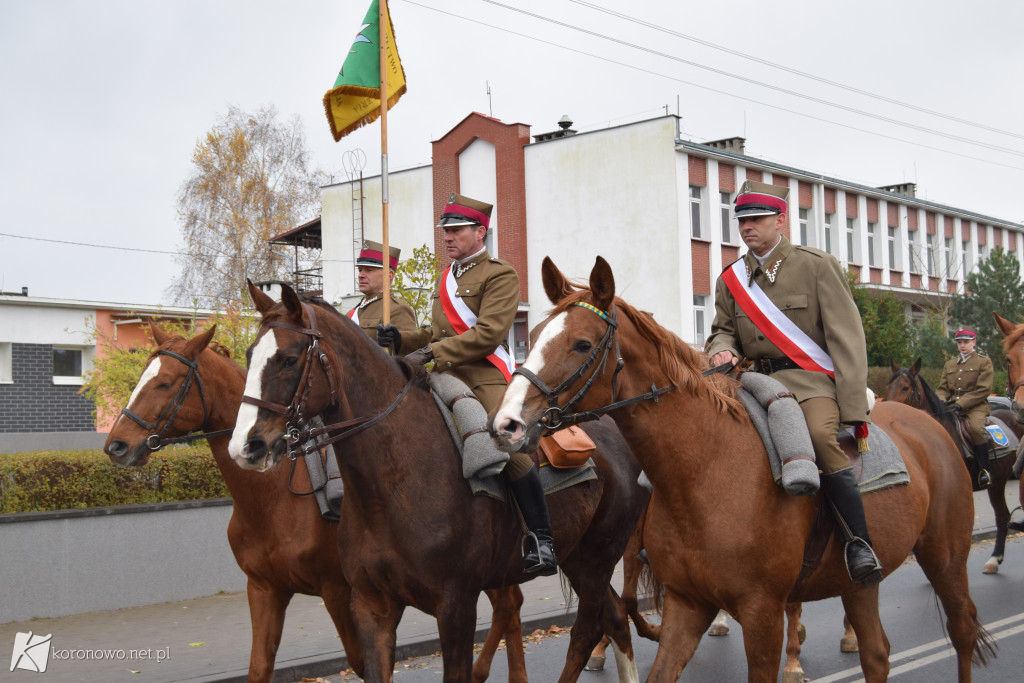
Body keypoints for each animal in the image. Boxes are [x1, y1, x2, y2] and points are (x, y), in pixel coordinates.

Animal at [102, 325, 524, 683]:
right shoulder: (265, 589)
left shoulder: (338, 591)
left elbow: (360, 661)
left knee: (507, 605)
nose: (116, 446)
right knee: (512, 603)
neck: (272, 499)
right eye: (140, 378)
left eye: (165, 382)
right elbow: (260, 667)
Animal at [230, 282, 647, 683]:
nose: (245, 446)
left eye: (289, 358)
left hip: (598, 558)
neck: (390, 488)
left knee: (587, 630)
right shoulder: (370, 606)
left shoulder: (456, 607)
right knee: (613, 616)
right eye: (249, 356)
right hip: (576, 556)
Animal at [491, 258, 995, 683]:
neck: (705, 467)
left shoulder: (762, 613)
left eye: (581, 344)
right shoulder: (686, 603)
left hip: (945, 557)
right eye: (533, 334)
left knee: (963, 629)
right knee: (877, 654)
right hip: (860, 584)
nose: (507, 424)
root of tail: (929, 427)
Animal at [884, 358, 1019, 577]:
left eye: (905, 387)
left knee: (1002, 516)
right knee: (1003, 515)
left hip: (998, 482)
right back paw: (995, 559)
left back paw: (994, 558)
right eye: (889, 386)